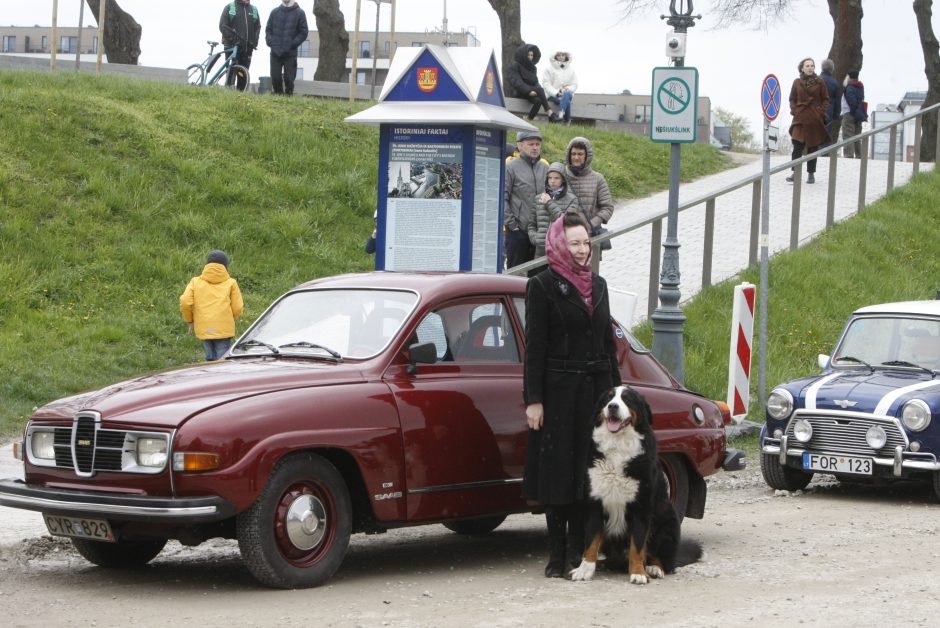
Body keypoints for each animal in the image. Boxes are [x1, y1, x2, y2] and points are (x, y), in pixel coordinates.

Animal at [568, 386, 700, 588]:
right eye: (608, 398)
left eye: (627, 399)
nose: (612, 407)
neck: (617, 446)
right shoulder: (595, 504)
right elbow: (591, 542)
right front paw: (585, 569)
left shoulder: (641, 508)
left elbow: (637, 547)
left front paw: (638, 572)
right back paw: (603, 564)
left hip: (667, 523)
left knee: (662, 559)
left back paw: (654, 568)